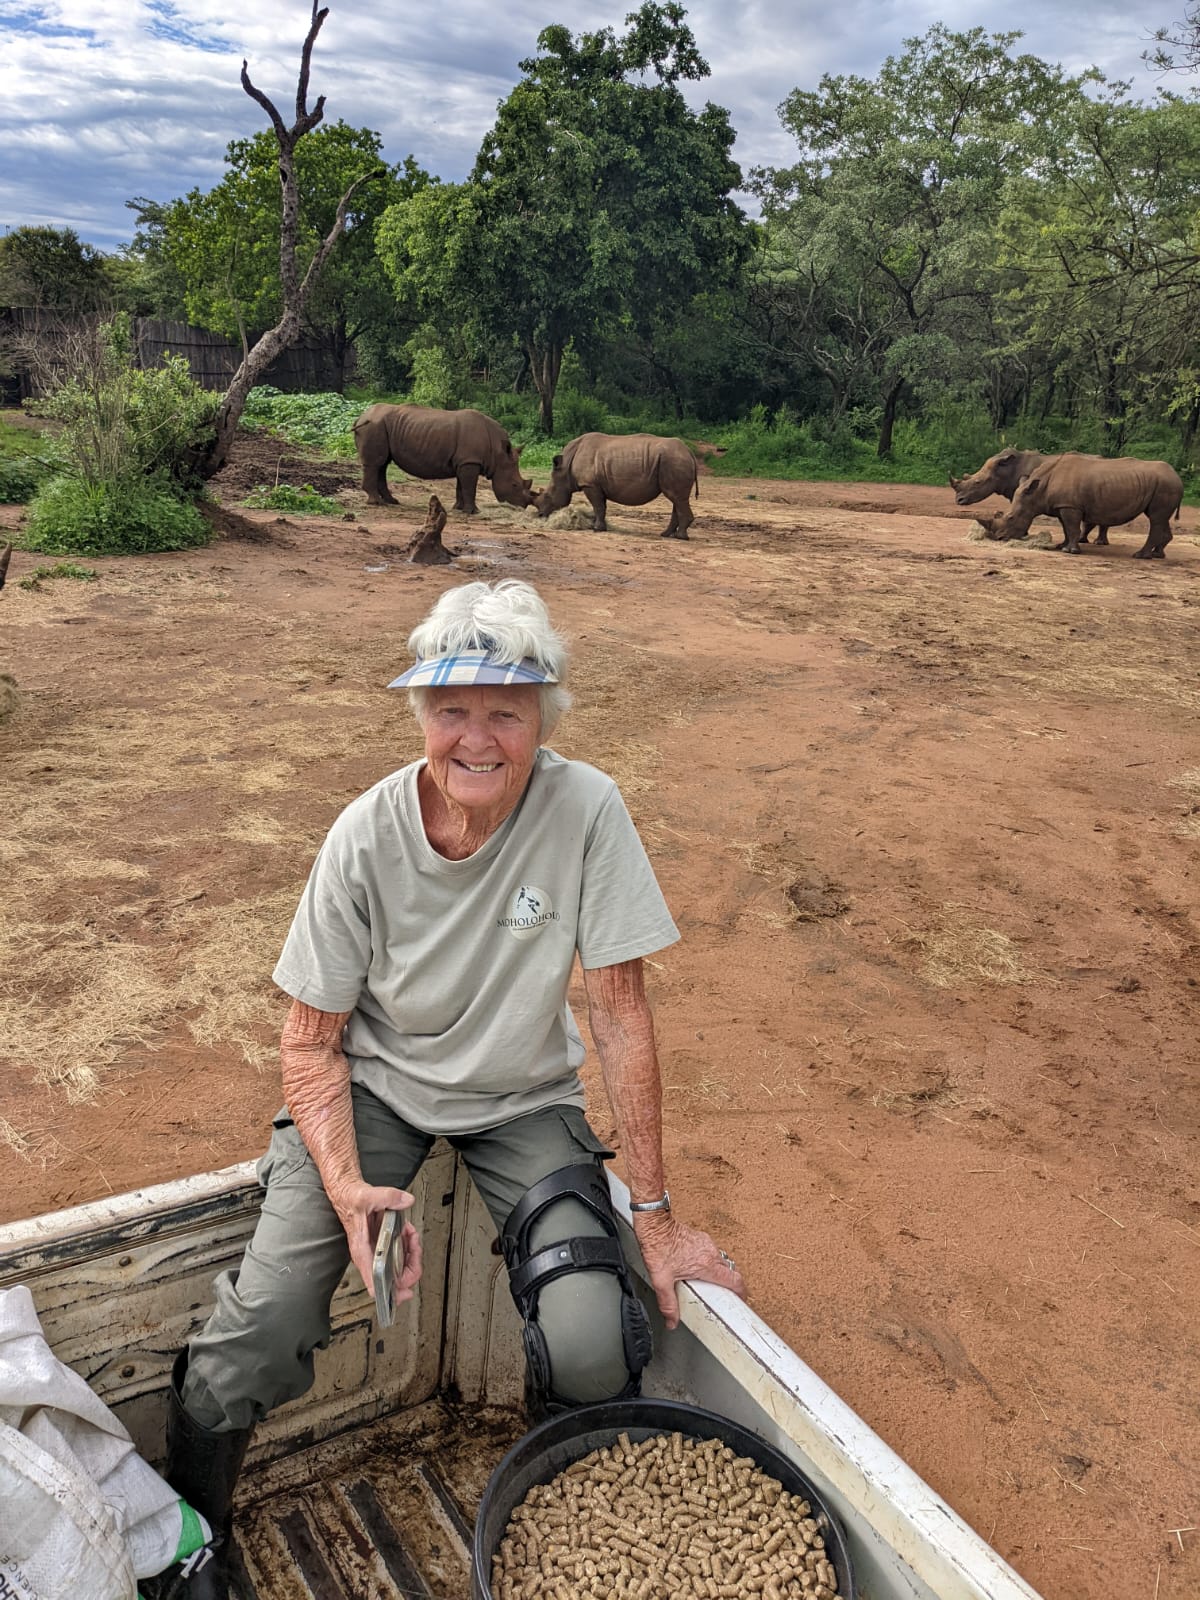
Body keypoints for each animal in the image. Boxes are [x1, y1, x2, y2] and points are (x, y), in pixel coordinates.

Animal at [353, 404, 534, 513]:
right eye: (515, 485)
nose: (524, 506)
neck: (498, 453)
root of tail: (360, 417)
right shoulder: (470, 461)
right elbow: (470, 487)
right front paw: (473, 511)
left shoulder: (464, 461)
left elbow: (462, 486)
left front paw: (458, 508)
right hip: (373, 426)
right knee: (376, 464)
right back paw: (377, 503)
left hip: (379, 427)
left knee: (382, 464)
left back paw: (392, 501)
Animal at [535, 433, 699, 539]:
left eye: (547, 496)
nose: (540, 515)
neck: (565, 467)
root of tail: (689, 452)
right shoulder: (598, 485)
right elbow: (601, 507)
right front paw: (598, 526)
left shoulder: (590, 484)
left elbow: (598, 506)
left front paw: (596, 529)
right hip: (673, 461)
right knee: (677, 499)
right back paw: (666, 534)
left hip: (673, 461)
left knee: (677, 498)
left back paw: (680, 537)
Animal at [990, 454, 1183, 558]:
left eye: (1011, 518)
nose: (999, 538)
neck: (1038, 491)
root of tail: (1177, 477)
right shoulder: (1064, 505)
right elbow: (1066, 528)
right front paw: (1061, 546)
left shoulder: (1070, 506)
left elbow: (1072, 527)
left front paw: (1070, 551)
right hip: (1164, 485)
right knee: (1160, 518)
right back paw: (1157, 555)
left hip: (1165, 485)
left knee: (1156, 519)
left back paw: (1140, 556)